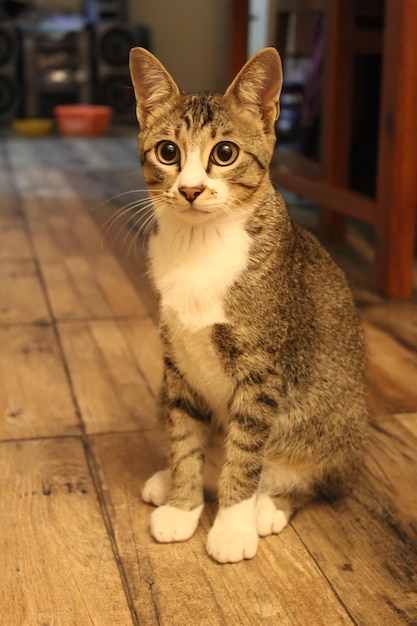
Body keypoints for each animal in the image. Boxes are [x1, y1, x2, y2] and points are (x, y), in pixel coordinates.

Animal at [128, 44, 366, 560]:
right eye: (168, 151)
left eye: (225, 153)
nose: (190, 189)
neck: (200, 247)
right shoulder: (177, 360)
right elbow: (184, 434)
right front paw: (183, 504)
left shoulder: (262, 369)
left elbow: (246, 450)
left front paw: (233, 526)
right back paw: (171, 480)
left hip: (332, 426)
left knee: (315, 478)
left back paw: (270, 504)